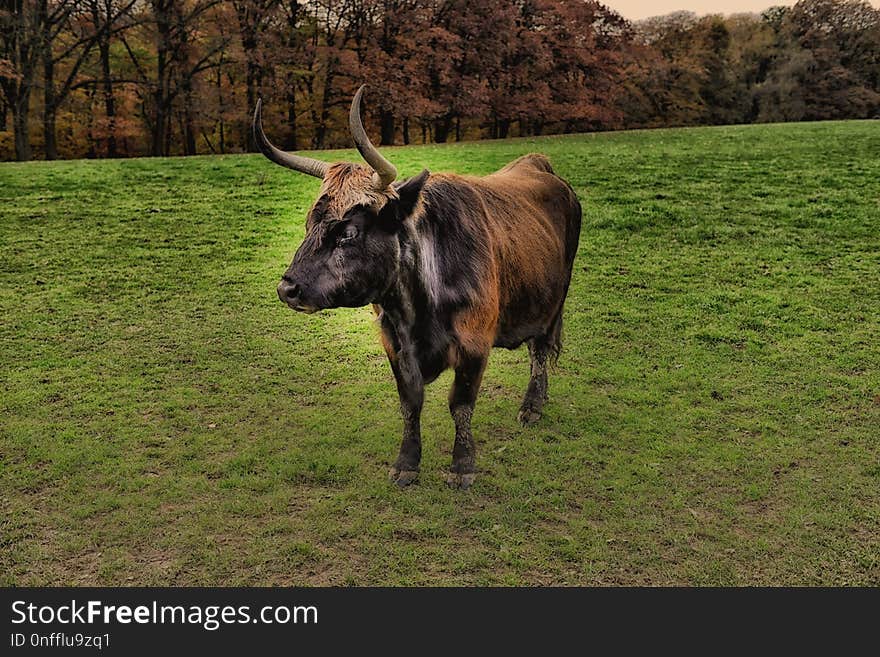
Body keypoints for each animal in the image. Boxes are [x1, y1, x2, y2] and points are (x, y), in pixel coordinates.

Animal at [254, 86, 580, 486]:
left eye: (348, 232)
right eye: (308, 224)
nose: (288, 289)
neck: (417, 309)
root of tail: (538, 164)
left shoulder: (475, 344)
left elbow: (461, 405)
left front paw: (462, 465)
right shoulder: (395, 346)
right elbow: (410, 404)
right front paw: (407, 462)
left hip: (553, 302)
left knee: (540, 350)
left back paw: (533, 405)